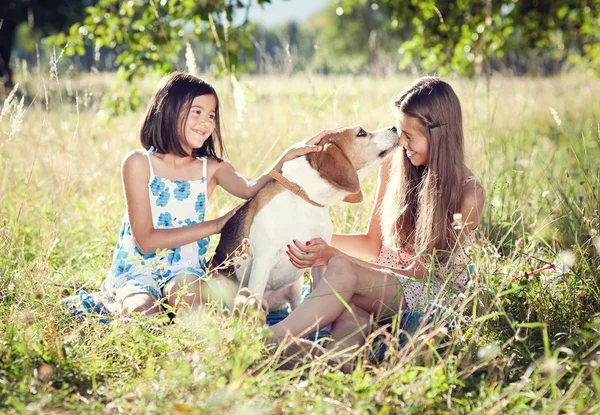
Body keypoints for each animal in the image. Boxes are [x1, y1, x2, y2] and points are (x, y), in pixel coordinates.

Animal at [209, 125, 400, 314]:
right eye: (361, 133)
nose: (394, 127)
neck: (305, 197)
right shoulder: (262, 261)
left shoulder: (318, 262)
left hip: (295, 287)